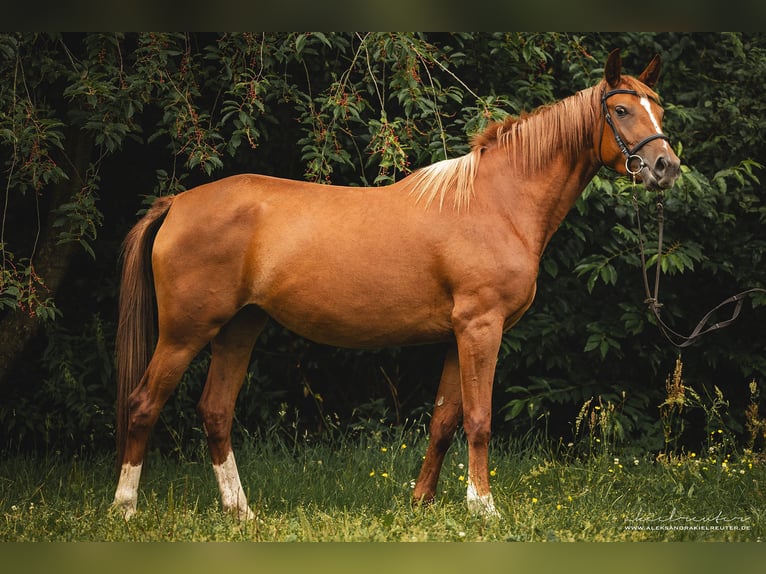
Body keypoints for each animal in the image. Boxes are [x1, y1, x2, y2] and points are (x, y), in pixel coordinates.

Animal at [115, 51, 684, 520]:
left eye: (658, 109)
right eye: (623, 111)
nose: (666, 167)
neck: (496, 202)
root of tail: (177, 203)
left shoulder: (460, 335)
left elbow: (445, 421)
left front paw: (422, 503)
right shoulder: (481, 328)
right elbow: (479, 418)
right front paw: (484, 508)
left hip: (239, 328)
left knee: (215, 412)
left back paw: (242, 514)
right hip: (185, 333)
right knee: (143, 404)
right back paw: (124, 509)